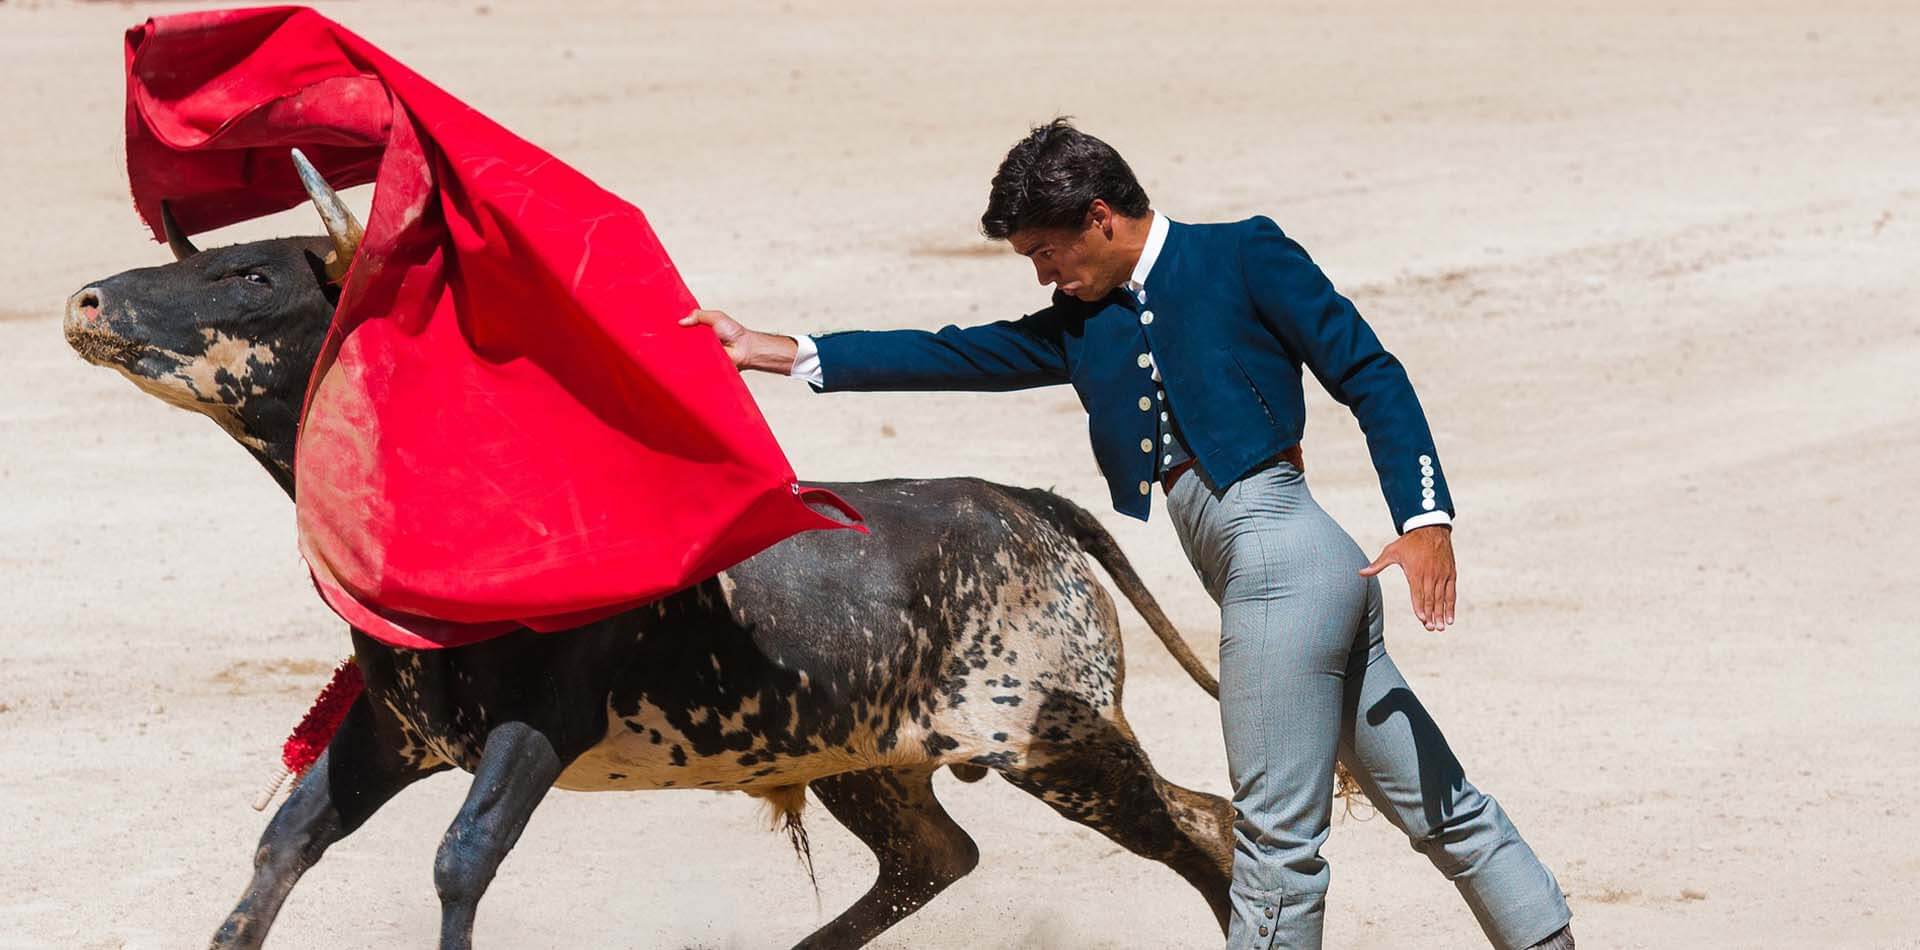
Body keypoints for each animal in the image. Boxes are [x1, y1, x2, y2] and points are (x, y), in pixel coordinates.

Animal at [63, 152, 1244, 948]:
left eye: (255, 278)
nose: (86, 299)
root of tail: (1020, 501)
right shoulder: (391, 732)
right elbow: (285, 846)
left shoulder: (538, 725)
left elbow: (459, 859)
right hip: (864, 756)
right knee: (936, 855)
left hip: (1056, 736)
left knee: (1206, 827)